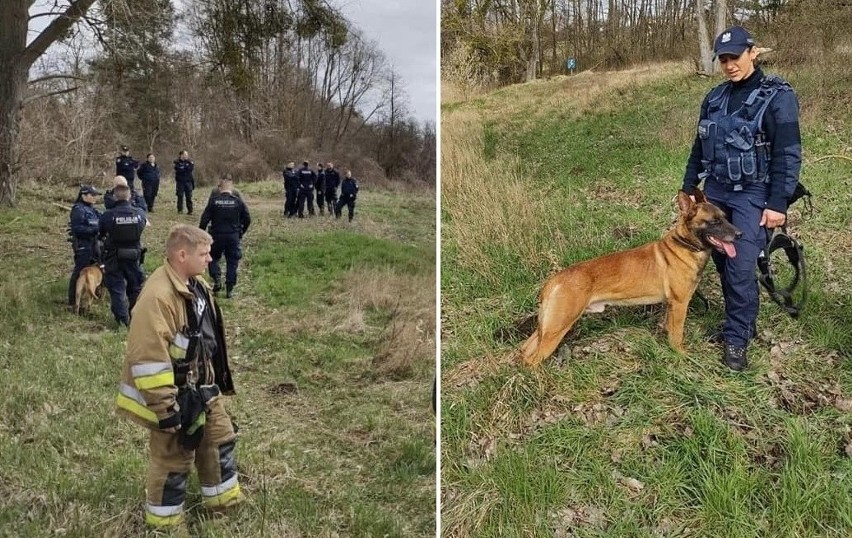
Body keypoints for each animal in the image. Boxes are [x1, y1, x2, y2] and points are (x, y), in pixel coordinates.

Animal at [516, 186, 744, 366]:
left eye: (725, 217)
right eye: (714, 222)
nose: (740, 234)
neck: (685, 244)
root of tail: (554, 280)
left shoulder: (671, 305)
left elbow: (669, 330)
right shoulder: (680, 304)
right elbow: (678, 334)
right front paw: (680, 355)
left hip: (547, 326)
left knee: (524, 351)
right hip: (557, 328)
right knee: (532, 360)